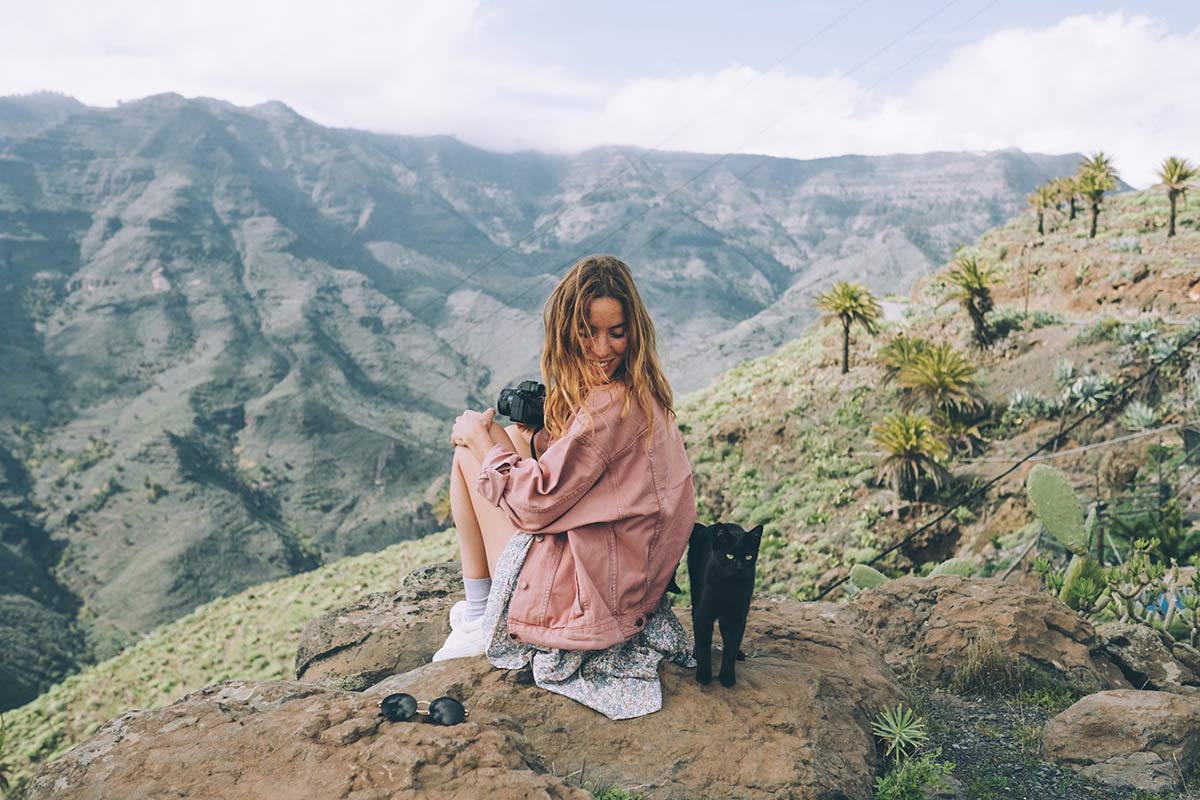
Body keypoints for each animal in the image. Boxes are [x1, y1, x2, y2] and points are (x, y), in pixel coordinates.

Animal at [686, 522, 758, 686]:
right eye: (729, 555)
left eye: (748, 556)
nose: (739, 567)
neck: (729, 587)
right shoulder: (703, 613)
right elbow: (704, 645)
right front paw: (704, 676)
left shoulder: (737, 617)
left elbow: (731, 647)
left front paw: (727, 678)